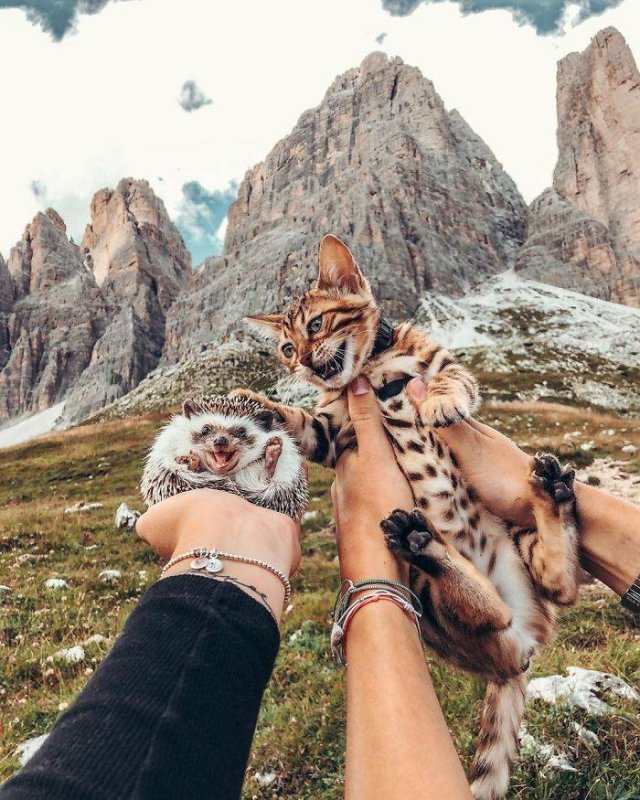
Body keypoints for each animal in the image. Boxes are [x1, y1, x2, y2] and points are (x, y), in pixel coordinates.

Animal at [239, 234, 580, 796]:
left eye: (316, 325)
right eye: (285, 348)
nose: (304, 363)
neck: (370, 371)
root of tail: (522, 651)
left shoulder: (439, 362)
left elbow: (450, 379)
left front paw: (439, 404)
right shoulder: (332, 433)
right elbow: (300, 422)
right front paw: (257, 403)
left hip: (516, 536)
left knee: (560, 584)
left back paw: (546, 494)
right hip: (433, 597)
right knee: (505, 605)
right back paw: (432, 542)